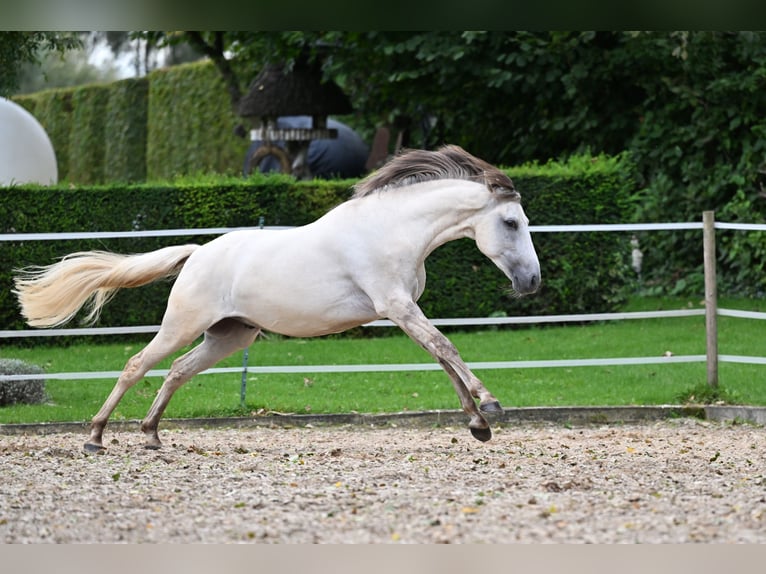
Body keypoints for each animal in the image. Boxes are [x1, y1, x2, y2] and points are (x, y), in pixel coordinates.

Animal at [13, 145, 540, 454]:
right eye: (511, 222)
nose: (531, 281)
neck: (390, 231)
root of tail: (197, 253)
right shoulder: (397, 307)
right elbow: (447, 349)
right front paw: (490, 407)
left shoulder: (403, 311)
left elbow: (441, 358)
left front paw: (477, 424)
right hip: (183, 325)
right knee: (136, 365)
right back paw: (96, 437)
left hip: (229, 336)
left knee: (177, 371)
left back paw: (152, 435)